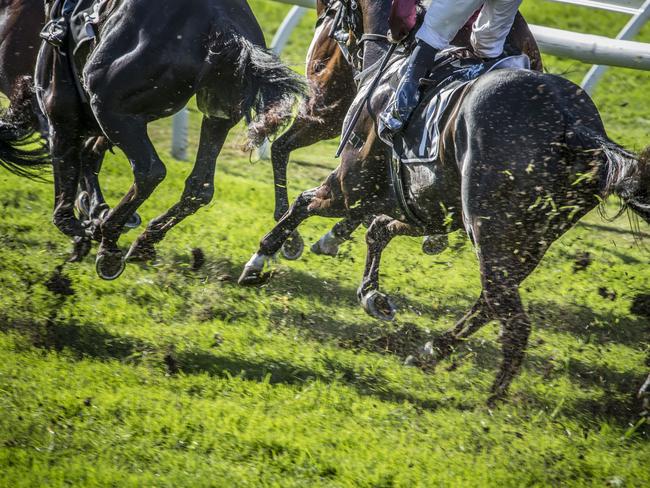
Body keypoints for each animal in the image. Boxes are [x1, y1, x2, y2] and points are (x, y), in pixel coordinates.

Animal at [0, 0, 304, 280]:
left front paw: (85, 229)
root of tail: (222, 23)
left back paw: (110, 243)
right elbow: (89, 157)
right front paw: (95, 212)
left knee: (149, 171)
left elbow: (66, 187)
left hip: (109, 106)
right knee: (199, 187)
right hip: (218, 113)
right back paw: (144, 241)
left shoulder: (62, 112)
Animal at [239, 0, 648, 402]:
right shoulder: (428, 209)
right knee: (491, 301)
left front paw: (260, 259)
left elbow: (304, 205)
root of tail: (576, 127)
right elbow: (379, 228)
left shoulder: (350, 188)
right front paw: (371, 293)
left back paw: (492, 399)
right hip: (532, 238)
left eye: (336, 11)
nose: (320, 59)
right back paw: (431, 351)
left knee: (510, 316)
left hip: (489, 228)